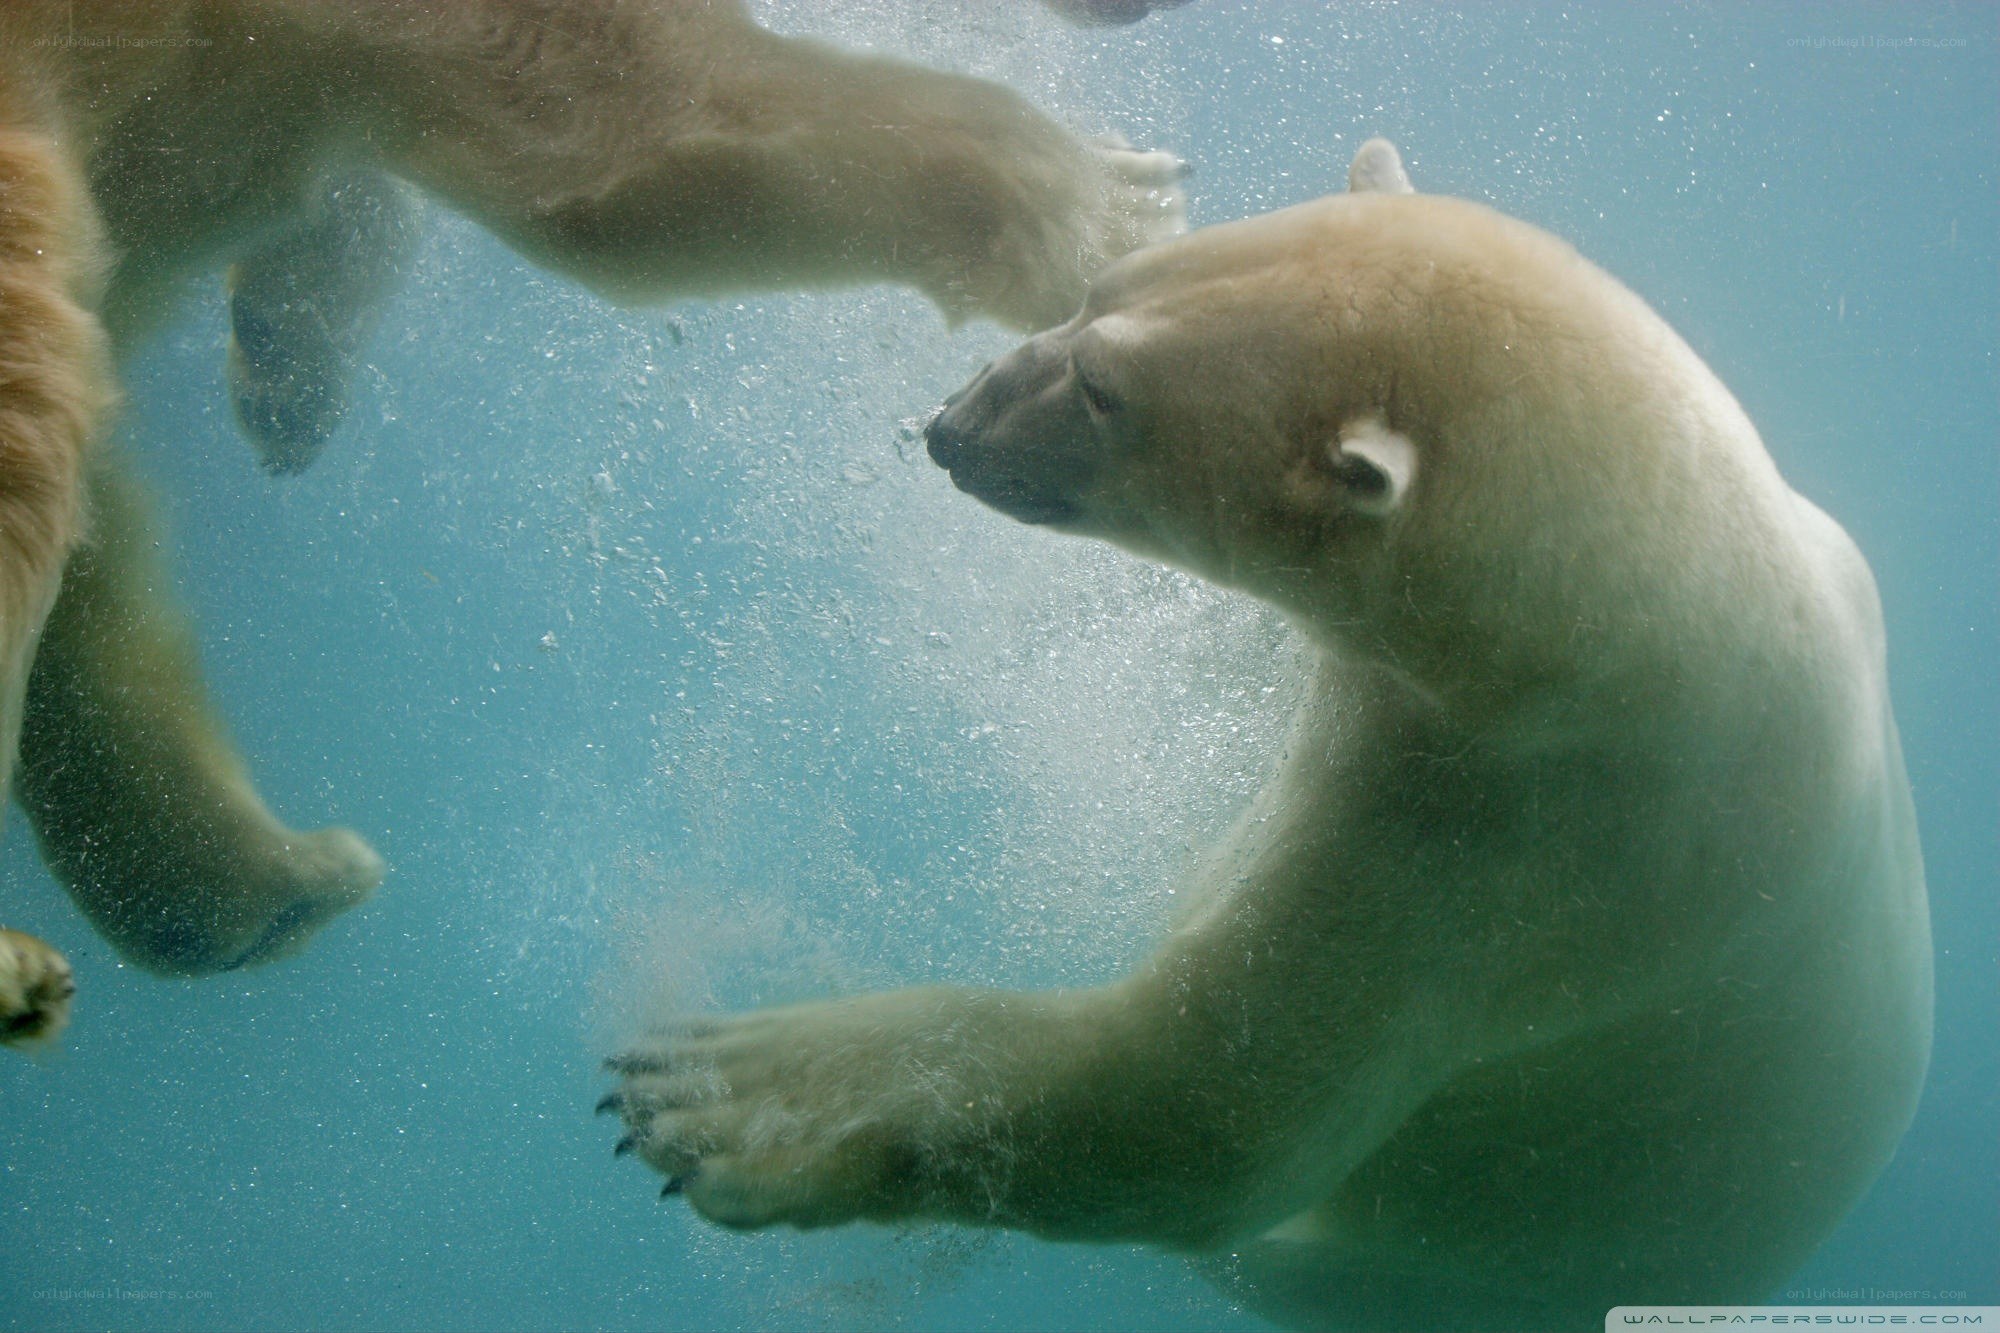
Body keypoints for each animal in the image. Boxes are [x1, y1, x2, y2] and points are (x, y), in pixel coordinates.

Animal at [603, 140, 1933, 1332]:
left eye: (1105, 393)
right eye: (1093, 290)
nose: (948, 424)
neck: (1636, 617)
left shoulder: (1526, 852)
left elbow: (1209, 1115)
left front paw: (718, 1094)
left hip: (1436, 1274)